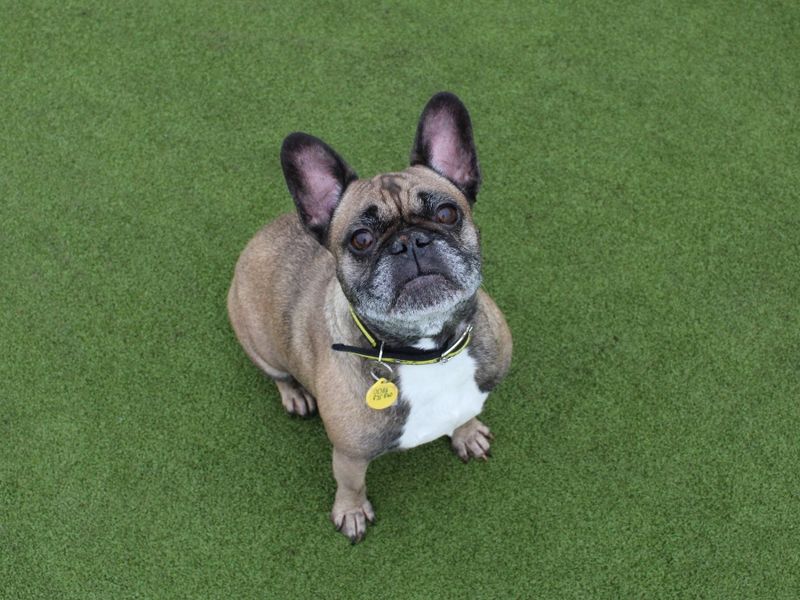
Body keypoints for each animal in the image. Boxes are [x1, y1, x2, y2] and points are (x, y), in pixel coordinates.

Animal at [227, 91, 512, 540]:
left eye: (447, 214)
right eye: (361, 240)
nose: (409, 241)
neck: (430, 350)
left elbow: (467, 411)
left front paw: (466, 433)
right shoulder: (348, 453)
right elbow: (351, 483)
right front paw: (352, 511)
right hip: (257, 341)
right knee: (278, 375)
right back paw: (295, 394)